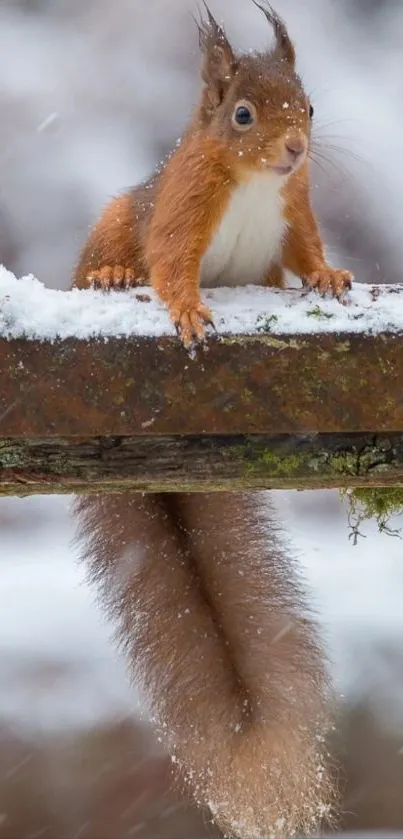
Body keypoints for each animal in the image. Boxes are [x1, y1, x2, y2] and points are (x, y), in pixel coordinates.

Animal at [72, 3, 350, 836]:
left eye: (308, 108)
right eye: (243, 115)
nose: (295, 151)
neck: (258, 184)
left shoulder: (296, 210)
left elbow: (306, 250)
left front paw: (329, 274)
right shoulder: (181, 209)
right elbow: (170, 262)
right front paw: (190, 309)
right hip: (116, 216)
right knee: (117, 255)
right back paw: (110, 273)